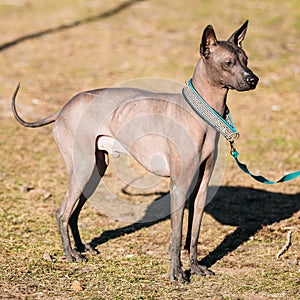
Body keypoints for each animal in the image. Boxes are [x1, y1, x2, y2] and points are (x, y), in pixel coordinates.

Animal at [11, 20, 258, 282]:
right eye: (228, 62)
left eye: (246, 59)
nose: (253, 79)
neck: (201, 113)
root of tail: (63, 107)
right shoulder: (179, 186)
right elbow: (177, 235)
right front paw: (176, 273)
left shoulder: (201, 187)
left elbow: (194, 233)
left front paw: (196, 267)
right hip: (83, 167)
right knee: (62, 212)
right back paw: (71, 254)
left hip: (95, 169)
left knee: (74, 212)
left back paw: (80, 247)